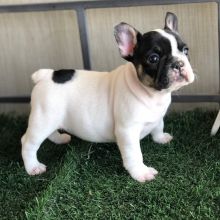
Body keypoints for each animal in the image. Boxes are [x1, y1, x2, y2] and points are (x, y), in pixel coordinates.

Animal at [21, 12, 194, 183]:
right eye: (153, 58)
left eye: (185, 50)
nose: (179, 63)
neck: (153, 94)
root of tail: (46, 75)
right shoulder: (127, 131)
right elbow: (135, 154)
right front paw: (141, 172)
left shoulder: (158, 117)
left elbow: (158, 126)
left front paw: (160, 138)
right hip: (43, 119)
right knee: (28, 142)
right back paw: (33, 167)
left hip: (50, 119)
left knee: (50, 132)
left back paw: (59, 139)